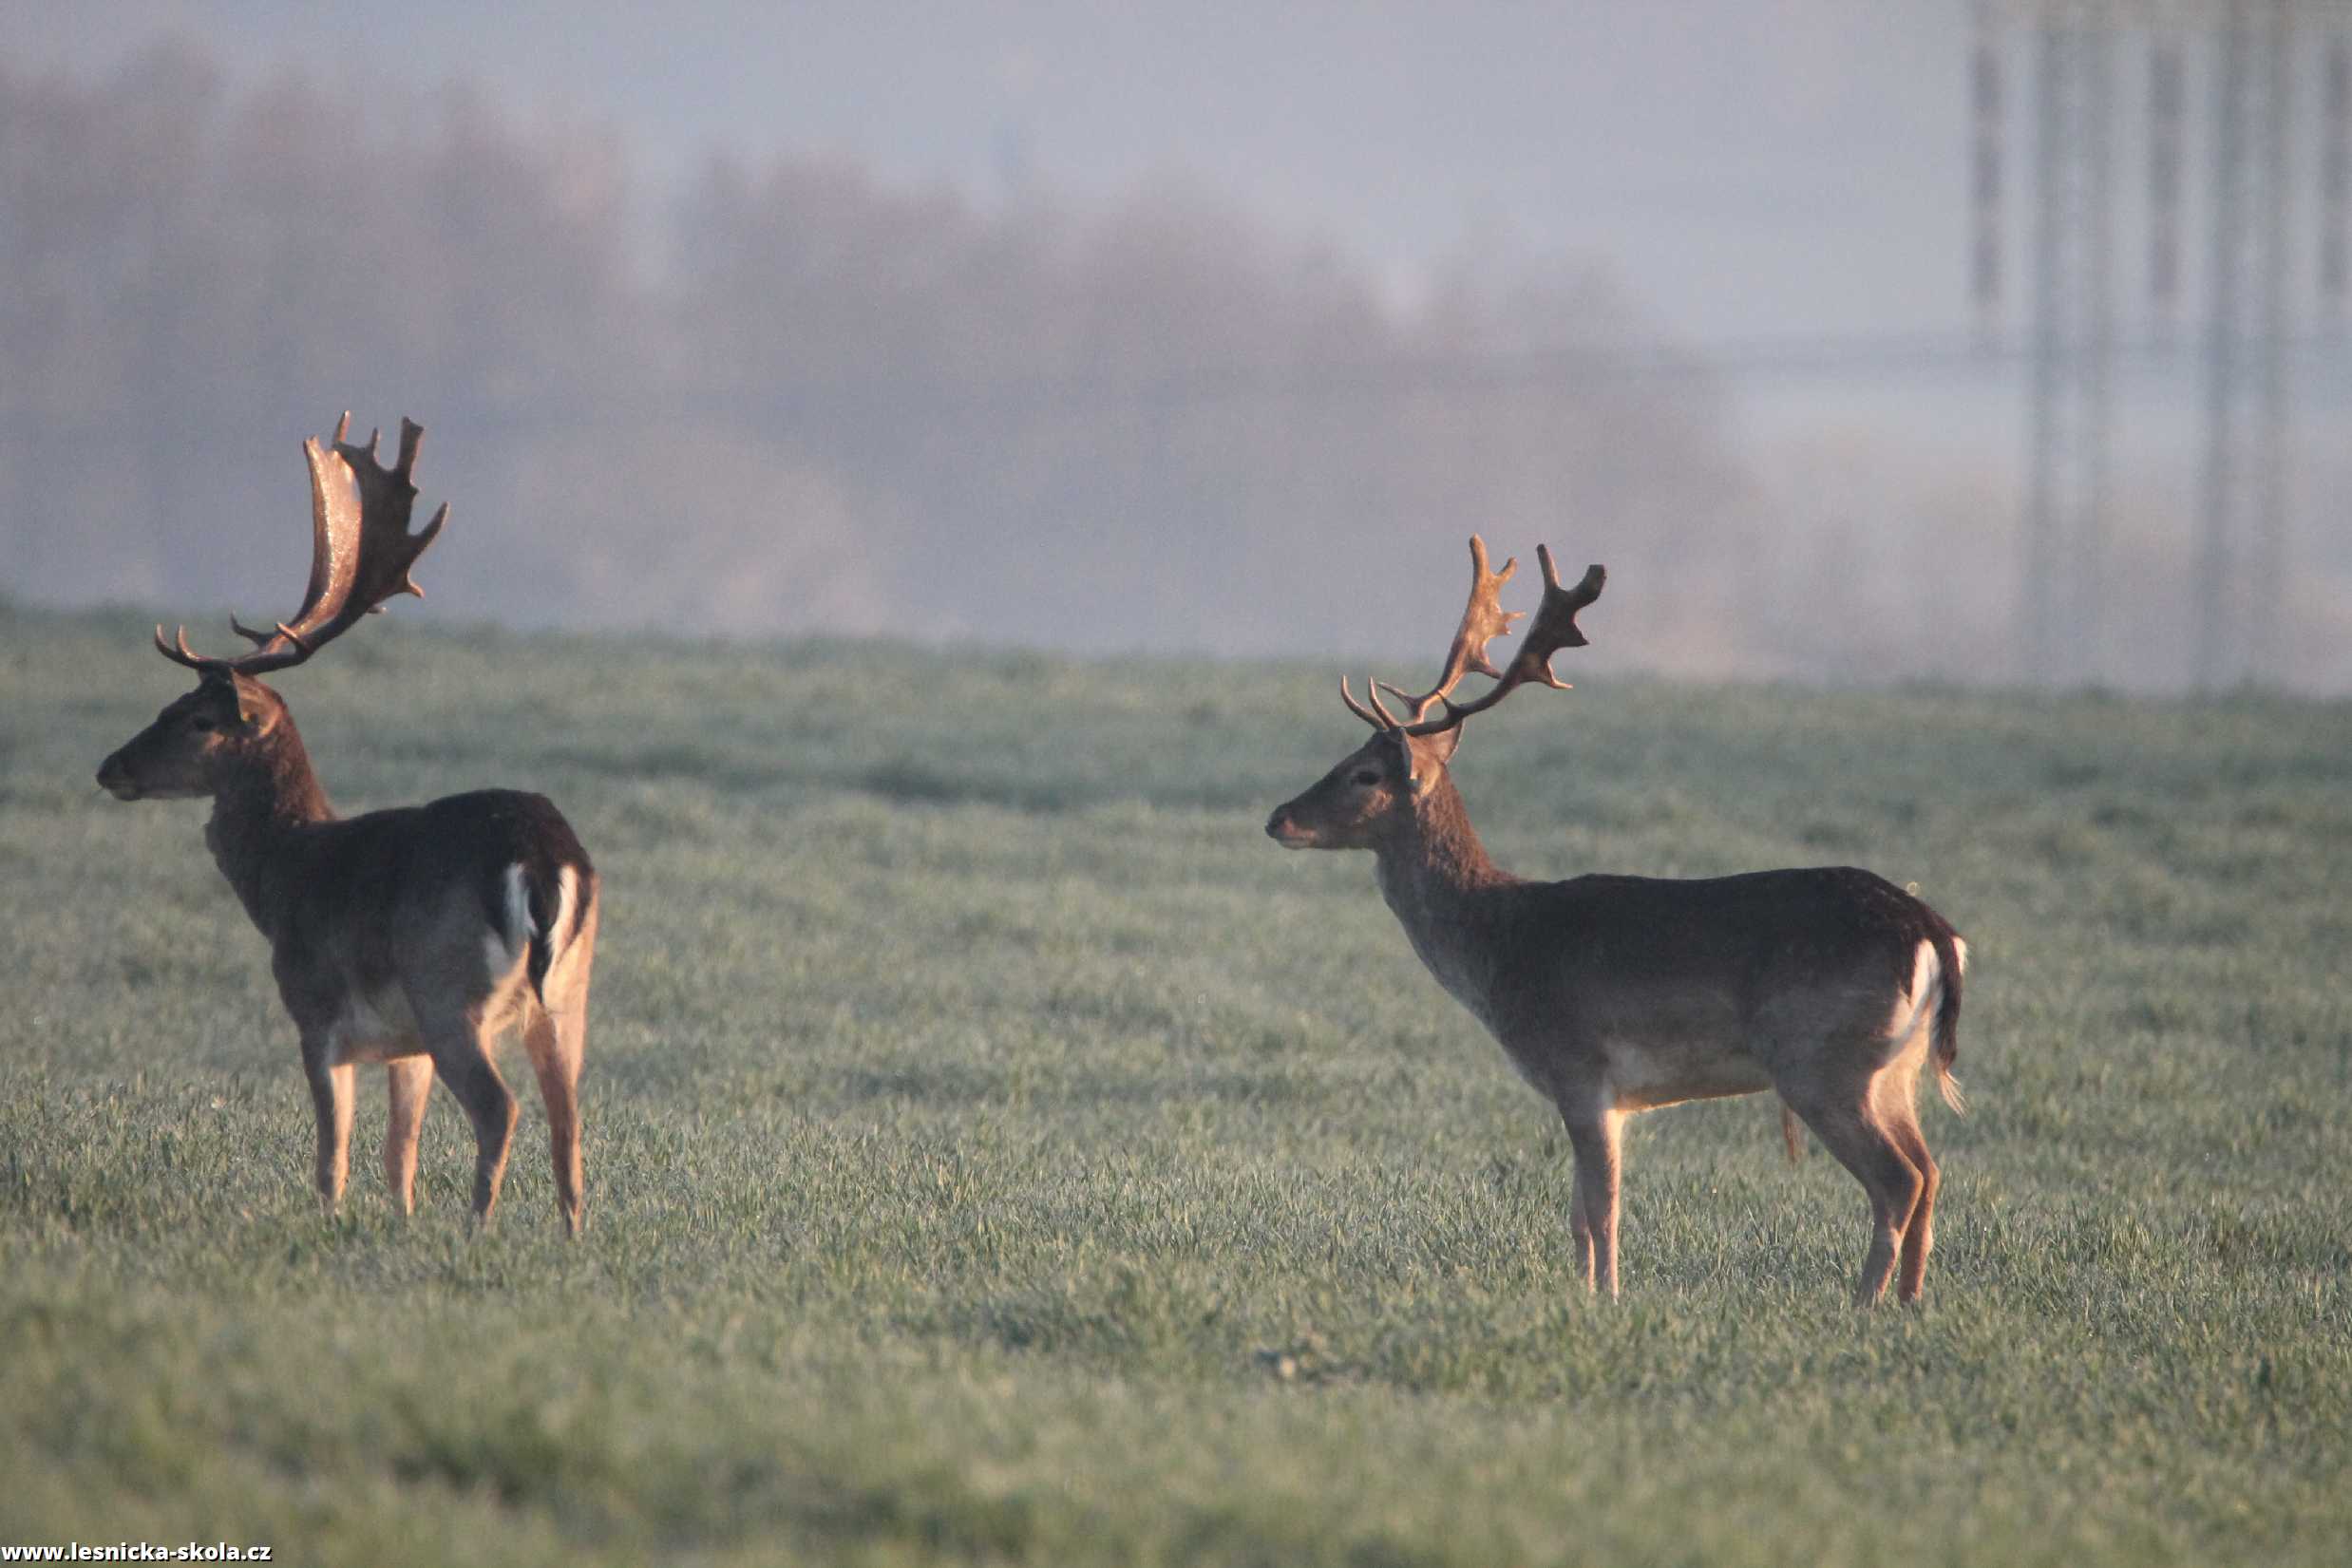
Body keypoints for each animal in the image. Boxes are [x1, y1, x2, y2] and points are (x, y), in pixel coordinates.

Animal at [100, 416, 597, 1240]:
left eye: (195, 716)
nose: (111, 766)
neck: (287, 876)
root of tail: (543, 859)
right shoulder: (404, 1046)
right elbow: (400, 1154)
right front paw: (399, 1224)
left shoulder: (316, 1008)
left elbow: (331, 1151)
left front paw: (329, 1223)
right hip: (565, 995)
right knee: (569, 1117)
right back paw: (569, 1236)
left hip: (449, 988)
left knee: (502, 1108)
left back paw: (478, 1230)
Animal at [1270, 545, 1965, 1307]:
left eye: (1364, 773)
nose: (1278, 817)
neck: (1499, 946)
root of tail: (1933, 932)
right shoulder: (1609, 1094)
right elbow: (1580, 1211)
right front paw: (1587, 1293)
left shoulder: (1580, 1065)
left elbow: (1601, 1207)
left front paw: (1606, 1298)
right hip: (1894, 1067)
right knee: (1931, 1170)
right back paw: (1910, 1302)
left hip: (1821, 1059)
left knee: (1899, 1178)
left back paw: (1864, 1303)